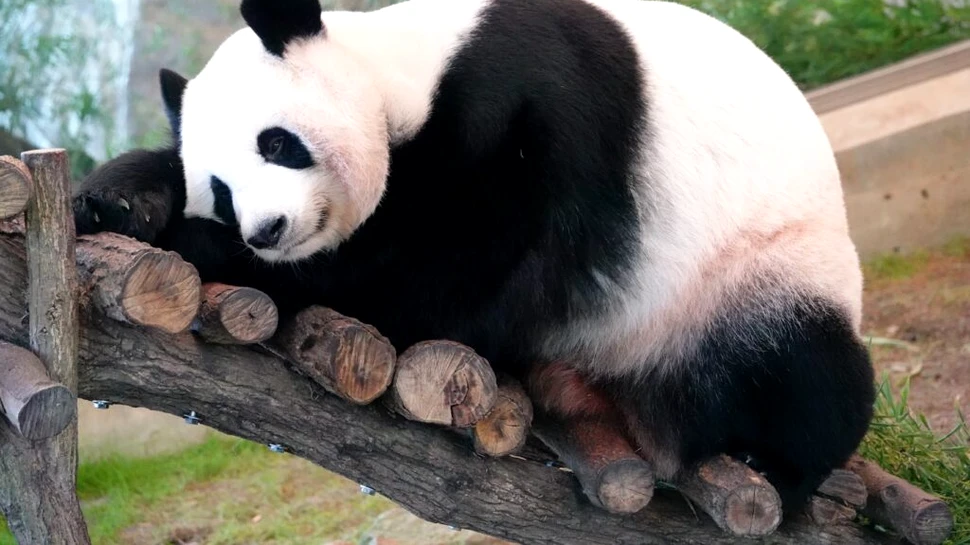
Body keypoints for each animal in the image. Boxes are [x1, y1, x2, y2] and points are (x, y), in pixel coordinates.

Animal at [74, 0, 875, 513]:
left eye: (277, 142)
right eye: (219, 185)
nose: (266, 230)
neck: (404, 71)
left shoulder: (533, 118)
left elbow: (441, 281)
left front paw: (203, 245)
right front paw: (117, 199)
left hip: (750, 277)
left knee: (802, 371)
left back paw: (772, 461)